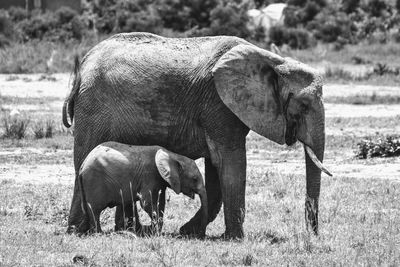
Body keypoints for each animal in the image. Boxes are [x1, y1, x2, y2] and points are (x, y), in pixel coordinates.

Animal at [77, 142, 208, 239]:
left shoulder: (160, 181)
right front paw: (153, 232)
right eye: (195, 179)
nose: (200, 235)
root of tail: (83, 165)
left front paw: (153, 231)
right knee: (95, 210)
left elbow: (160, 202)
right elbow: (147, 203)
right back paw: (99, 234)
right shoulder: (149, 176)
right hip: (94, 181)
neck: (173, 155)